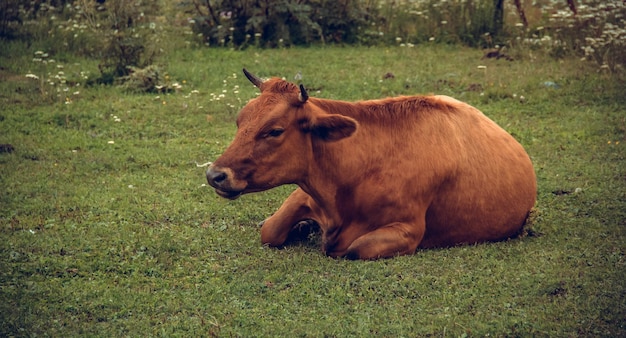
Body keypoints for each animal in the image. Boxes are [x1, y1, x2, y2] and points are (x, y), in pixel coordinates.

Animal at [206, 68, 536, 258]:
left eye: (274, 131)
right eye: (240, 121)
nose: (214, 174)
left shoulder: (408, 230)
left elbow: (352, 249)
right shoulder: (303, 192)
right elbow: (270, 231)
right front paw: (298, 227)